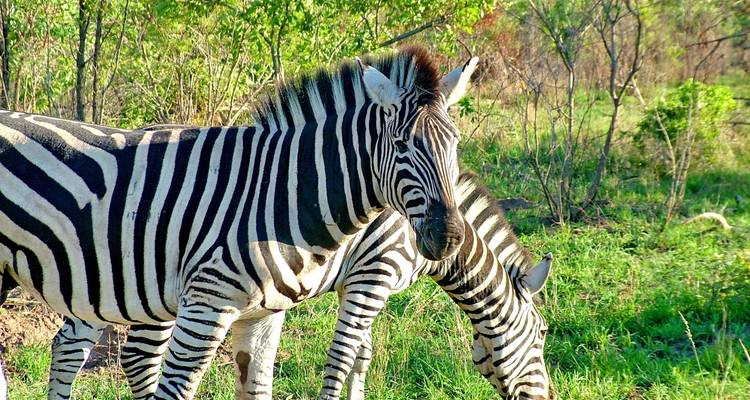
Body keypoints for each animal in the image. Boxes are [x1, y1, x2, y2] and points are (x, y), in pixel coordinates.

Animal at [0, 46, 478, 400]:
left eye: (455, 143)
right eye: (401, 145)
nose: (449, 237)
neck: (281, 196)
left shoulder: (264, 316)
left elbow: (258, 387)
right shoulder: (206, 305)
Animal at [18, 172, 552, 400]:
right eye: (544, 335)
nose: (546, 398)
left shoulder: (356, 282)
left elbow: (361, 355)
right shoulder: (374, 273)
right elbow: (348, 356)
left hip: (101, 283)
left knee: (67, 344)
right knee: (135, 356)